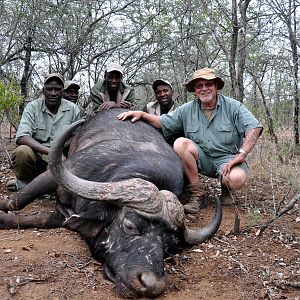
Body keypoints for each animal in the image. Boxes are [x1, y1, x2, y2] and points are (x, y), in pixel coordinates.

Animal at [0, 109, 220, 298]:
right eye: (130, 226)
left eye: (169, 246)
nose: (152, 285)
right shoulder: (57, 174)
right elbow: (17, 201)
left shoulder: (67, 214)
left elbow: (41, 219)